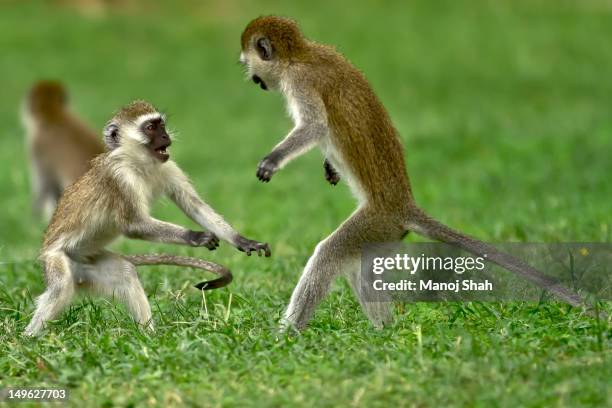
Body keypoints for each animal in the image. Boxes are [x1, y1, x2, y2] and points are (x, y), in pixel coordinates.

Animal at [25, 100, 270, 336]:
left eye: (161, 124)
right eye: (150, 128)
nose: (165, 136)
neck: (139, 164)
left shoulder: (168, 166)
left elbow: (194, 206)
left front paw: (243, 241)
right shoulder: (120, 179)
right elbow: (135, 225)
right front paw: (196, 237)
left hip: (87, 265)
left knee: (125, 273)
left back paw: (149, 335)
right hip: (55, 259)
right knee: (60, 288)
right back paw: (29, 338)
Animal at [239, 16, 588, 332]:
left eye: (248, 62)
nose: (249, 76)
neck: (301, 55)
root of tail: (404, 206)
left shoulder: (300, 83)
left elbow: (314, 126)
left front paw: (273, 160)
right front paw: (329, 167)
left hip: (377, 221)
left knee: (329, 256)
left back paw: (288, 335)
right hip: (384, 232)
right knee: (359, 268)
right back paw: (384, 332)